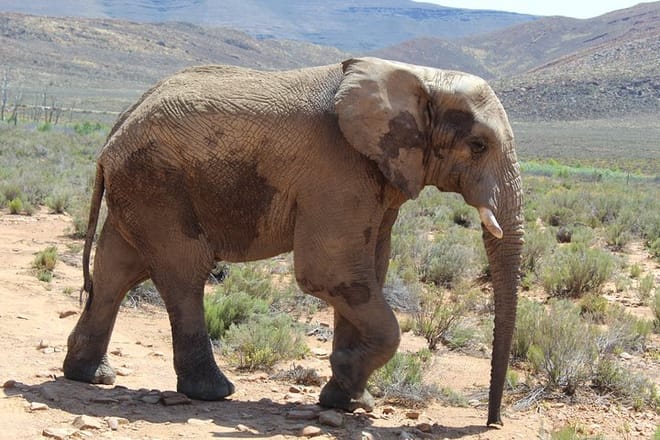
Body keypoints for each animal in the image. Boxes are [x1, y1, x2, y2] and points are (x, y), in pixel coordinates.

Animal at [63, 57, 523, 426]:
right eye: (478, 145)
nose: (494, 423)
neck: (421, 77)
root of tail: (114, 131)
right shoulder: (339, 171)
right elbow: (329, 272)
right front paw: (344, 376)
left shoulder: (378, 175)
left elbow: (367, 273)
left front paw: (347, 400)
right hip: (158, 185)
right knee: (184, 273)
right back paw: (212, 392)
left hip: (139, 187)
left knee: (115, 272)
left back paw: (89, 376)